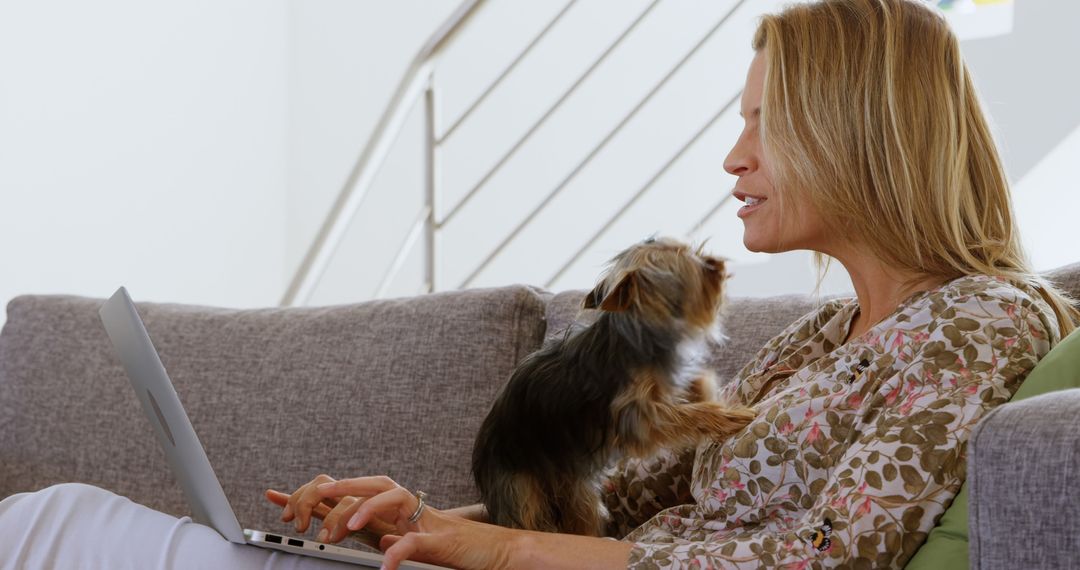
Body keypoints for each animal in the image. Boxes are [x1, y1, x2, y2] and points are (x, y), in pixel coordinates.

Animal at [473, 235, 760, 535]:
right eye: (682, 260)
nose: (714, 262)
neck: (643, 331)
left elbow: (697, 382)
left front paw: (709, 395)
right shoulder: (636, 414)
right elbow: (681, 415)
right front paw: (728, 416)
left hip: (573, 484)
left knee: (582, 513)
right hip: (518, 483)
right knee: (527, 516)